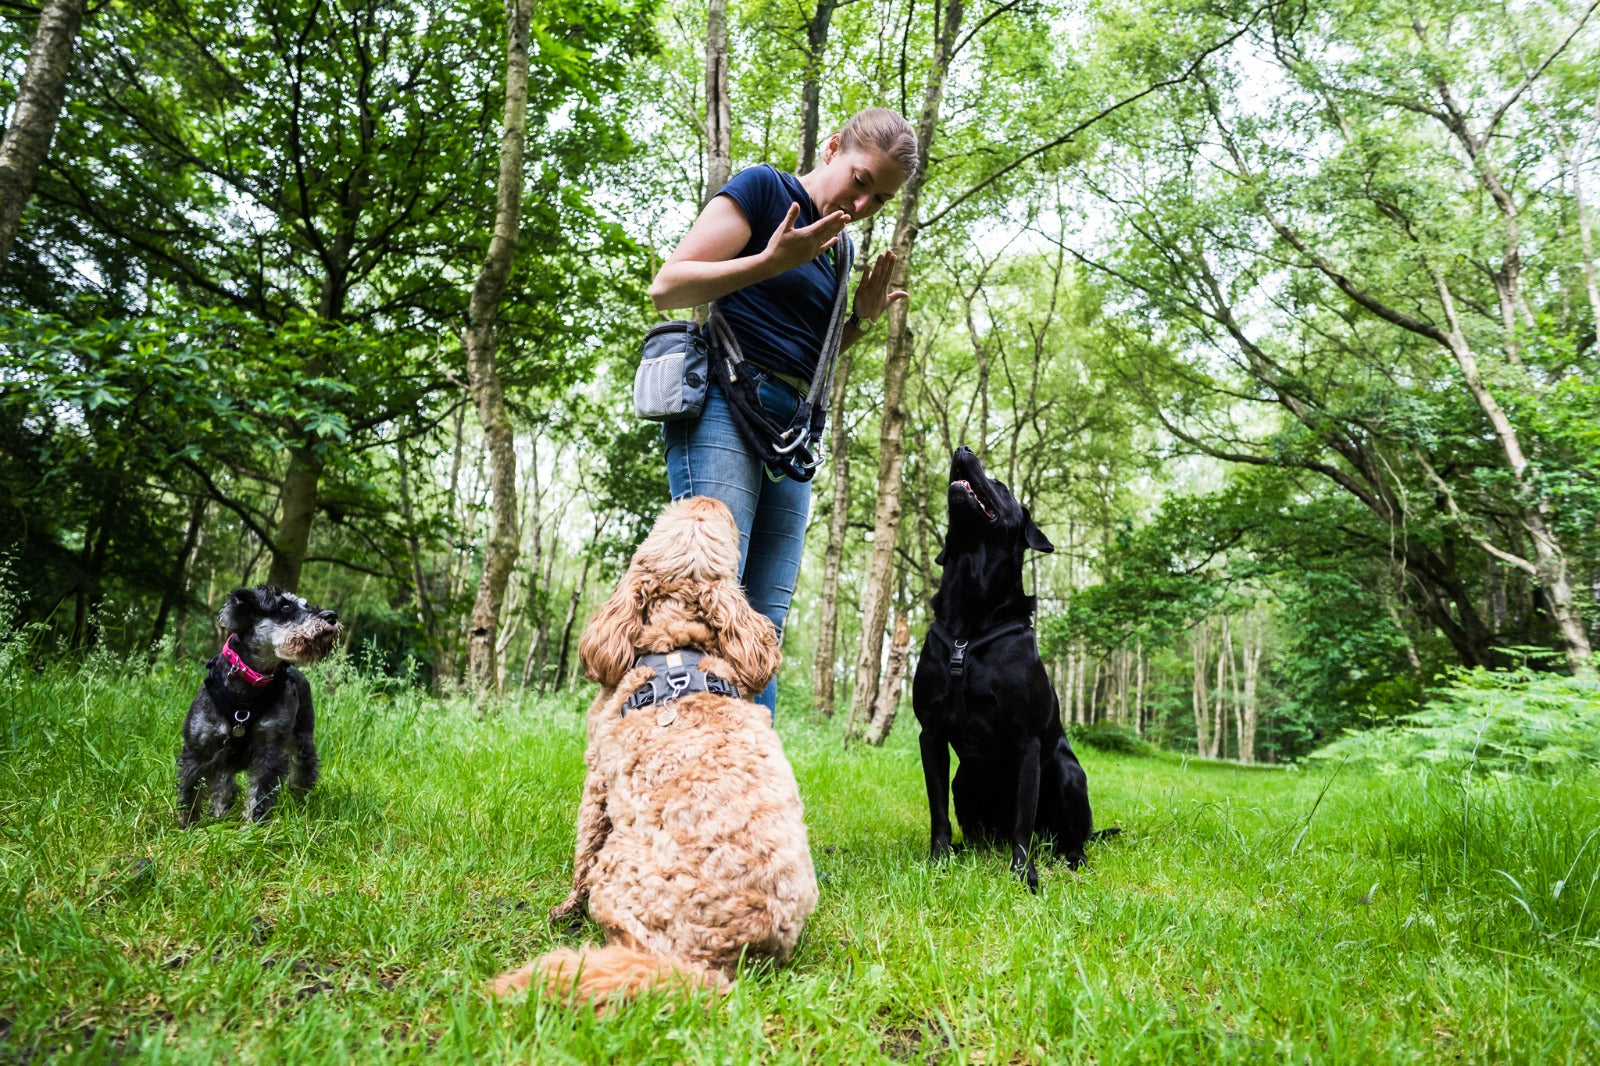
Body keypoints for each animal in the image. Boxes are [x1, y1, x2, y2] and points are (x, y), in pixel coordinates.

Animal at [483, 496, 812, 1005]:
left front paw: (564, 909)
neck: (676, 650)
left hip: (620, 871)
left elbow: (582, 853)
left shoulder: (597, 779)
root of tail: (707, 964)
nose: (708, 498)